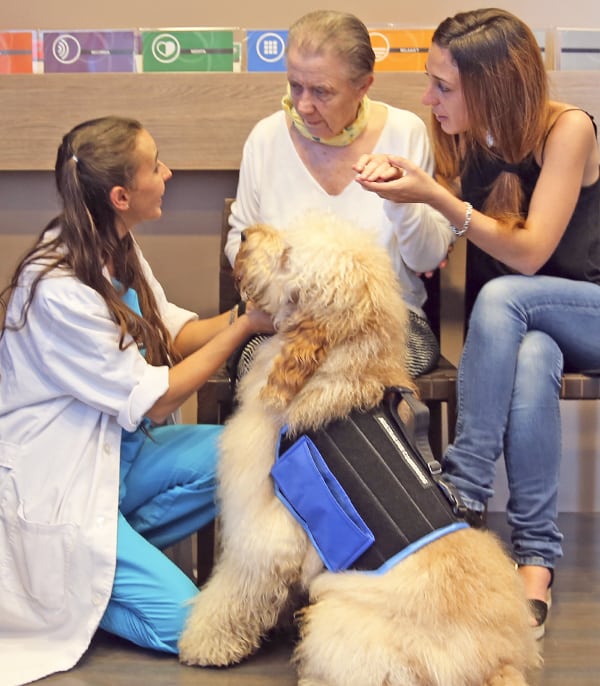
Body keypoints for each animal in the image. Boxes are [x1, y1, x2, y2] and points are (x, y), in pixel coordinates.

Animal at [178, 215, 540, 686]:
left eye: (288, 255)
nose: (245, 235)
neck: (336, 370)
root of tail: (498, 663)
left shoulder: (265, 526)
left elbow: (233, 589)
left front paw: (205, 642)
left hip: (341, 618)